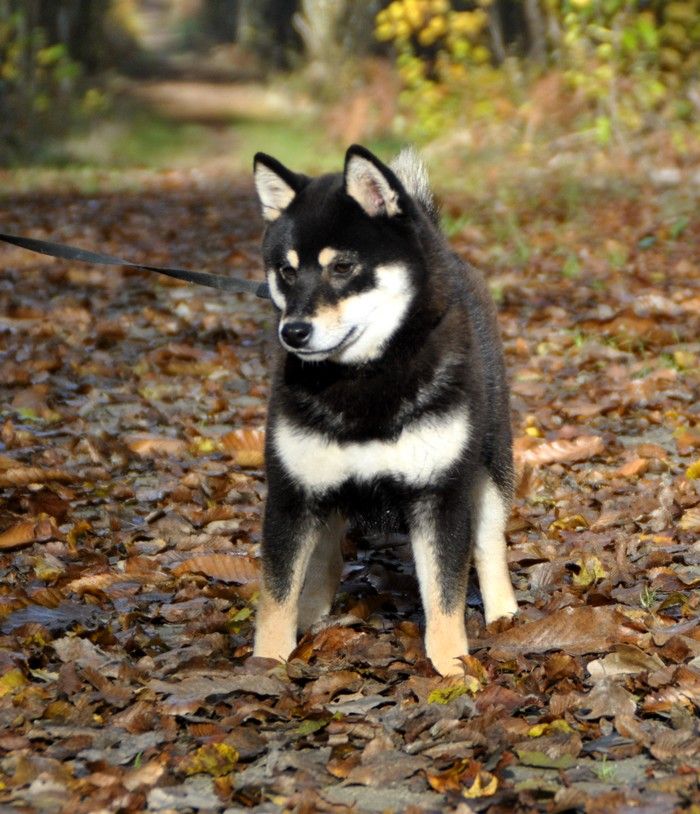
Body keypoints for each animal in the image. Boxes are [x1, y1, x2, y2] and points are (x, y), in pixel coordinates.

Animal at [250, 145, 516, 676]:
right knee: (326, 554)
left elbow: (444, 594)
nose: (293, 332)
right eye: (287, 271)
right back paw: (314, 611)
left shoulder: (440, 493)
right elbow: (276, 594)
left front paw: (452, 668)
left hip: (491, 462)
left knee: (489, 543)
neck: (362, 381)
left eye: (342, 267)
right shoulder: (293, 492)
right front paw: (265, 665)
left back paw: (504, 614)